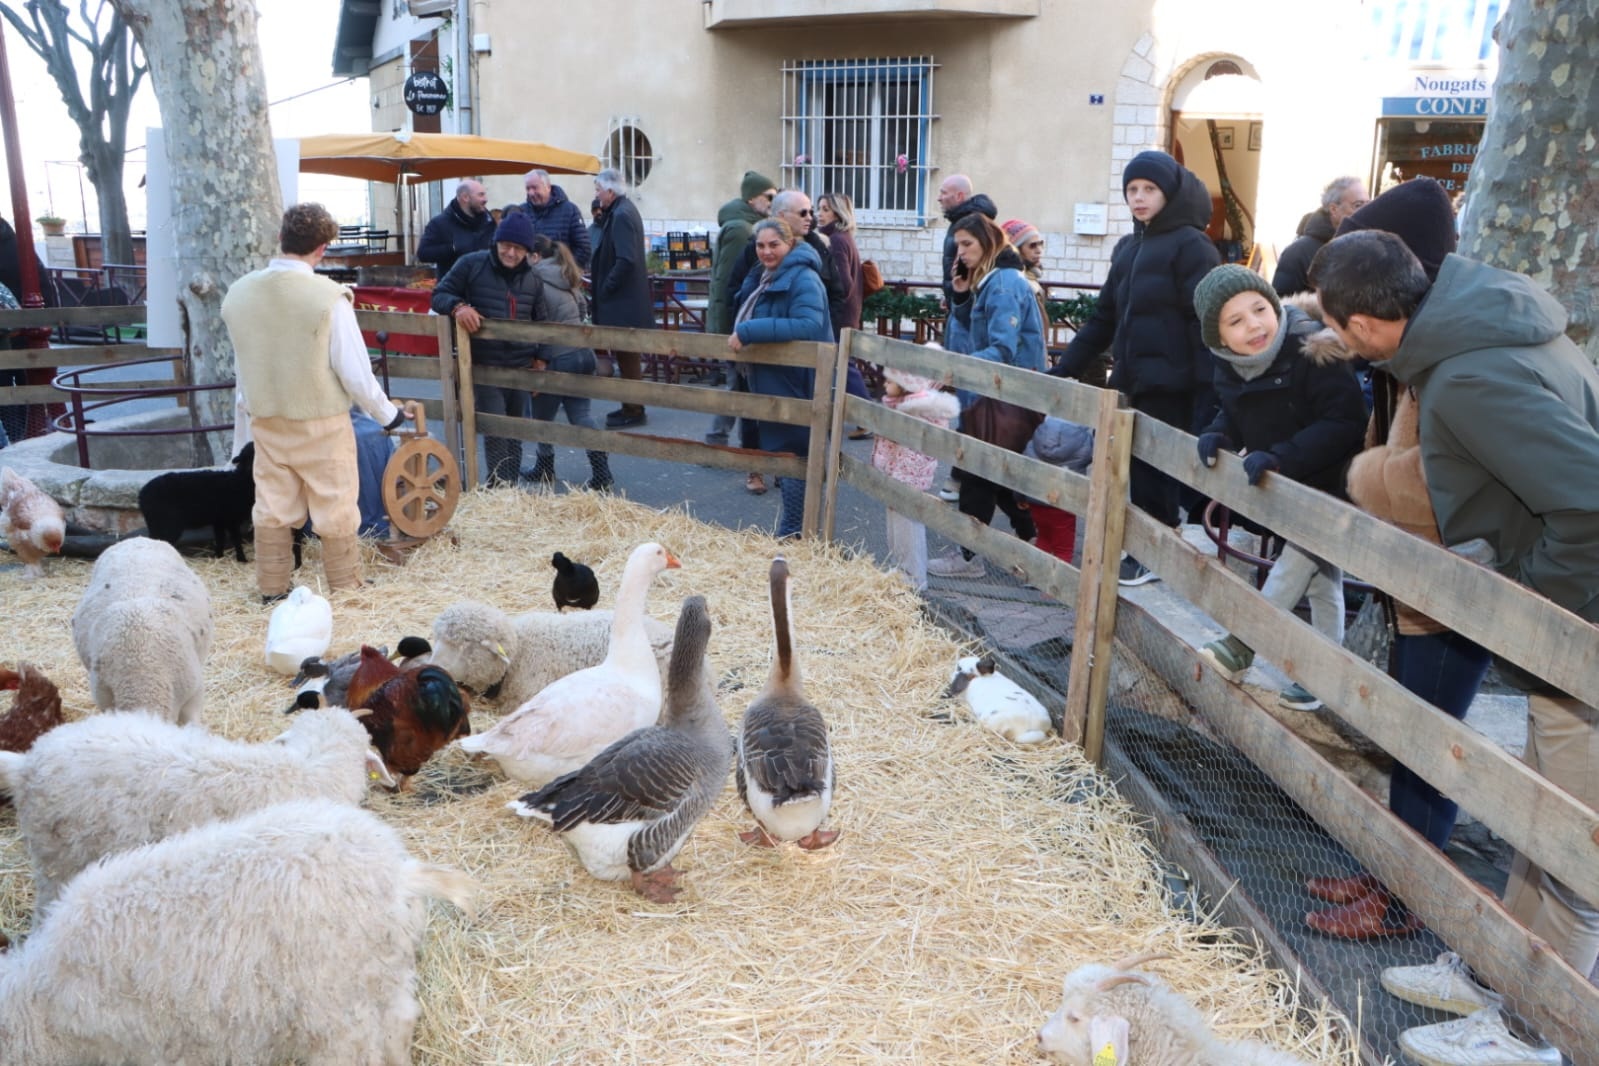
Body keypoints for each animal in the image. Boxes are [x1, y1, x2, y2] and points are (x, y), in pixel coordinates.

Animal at [0, 799, 475, 1066]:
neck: (40, 1005)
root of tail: (400, 874)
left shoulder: (148, 1042)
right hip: (384, 976)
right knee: (401, 1023)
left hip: (335, 1006)